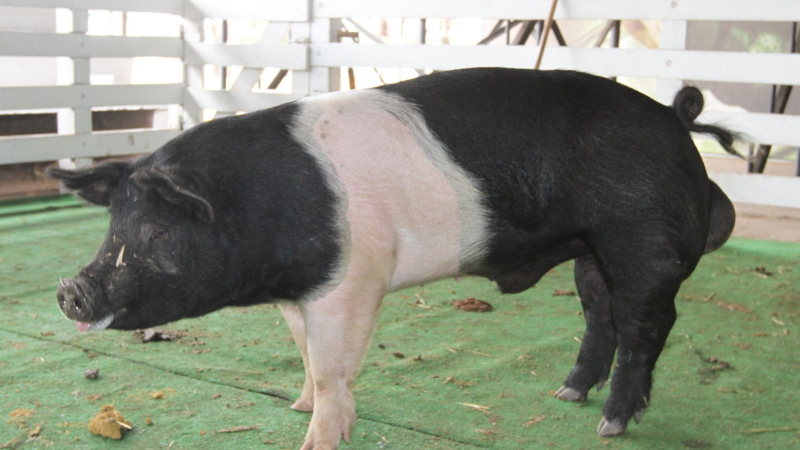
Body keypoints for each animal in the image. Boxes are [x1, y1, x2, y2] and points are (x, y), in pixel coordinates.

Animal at [48, 68, 737, 449]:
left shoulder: (354, 280)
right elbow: (306, 355)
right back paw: (567, 395)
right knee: (601, 317)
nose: (69, 290)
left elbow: (333, 369)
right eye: (113, 226)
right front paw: (298, 405)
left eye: (157, 233)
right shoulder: (301, 292)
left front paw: (316, 439)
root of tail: (674, 119)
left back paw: (610, 425)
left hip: (641, 241)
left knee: (646, 328)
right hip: (590, 255)